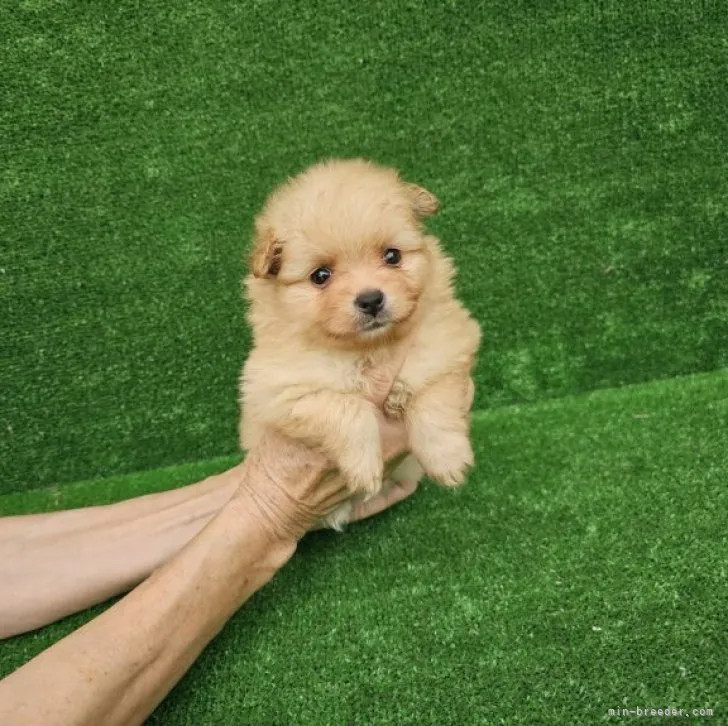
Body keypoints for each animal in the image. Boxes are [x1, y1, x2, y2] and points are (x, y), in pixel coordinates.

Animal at [237, 159, 478, 528]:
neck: (369, 348)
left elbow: (433, 399)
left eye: (392, 256)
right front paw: (364, 470)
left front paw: (448, 459)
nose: (371, 299)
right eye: (321, 276)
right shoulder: (279, 390)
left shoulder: (446, 345)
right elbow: (347, 407)